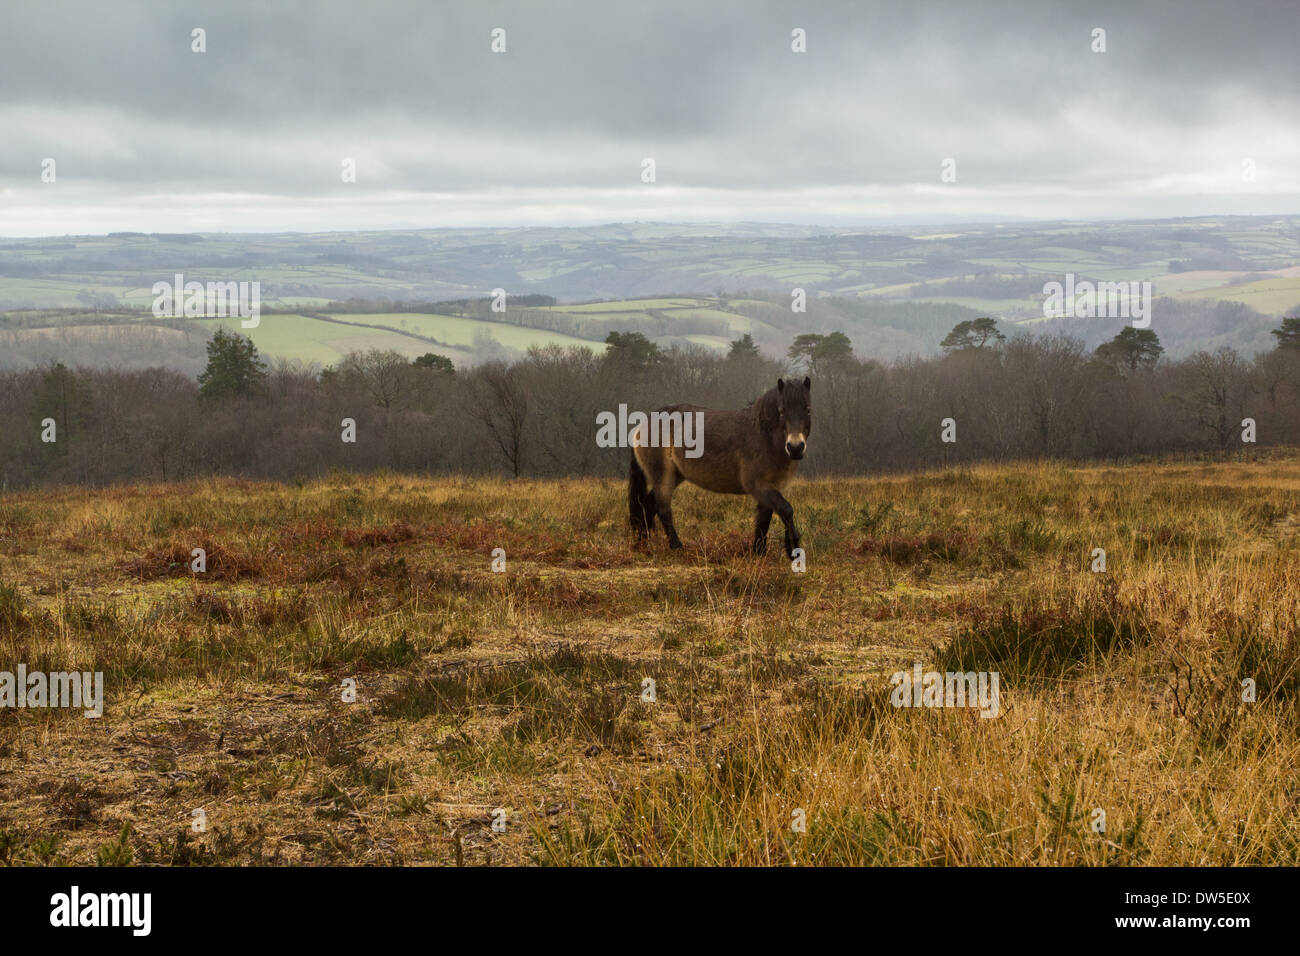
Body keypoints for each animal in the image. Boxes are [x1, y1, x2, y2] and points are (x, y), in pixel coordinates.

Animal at [629, 377, 811, 556]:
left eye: (808, 409)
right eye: (782, 411)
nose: (795, 448)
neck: (764, 437)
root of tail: (642, 425)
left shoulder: (771, 487)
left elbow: (764, 520)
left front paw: (759, 552)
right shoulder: (758, 485)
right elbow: (786, 509)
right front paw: (793, 549)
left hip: (674, 476)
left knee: (648, 505)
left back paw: (644, 543)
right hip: (663, 476)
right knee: (663, 508)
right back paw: (676, 546)